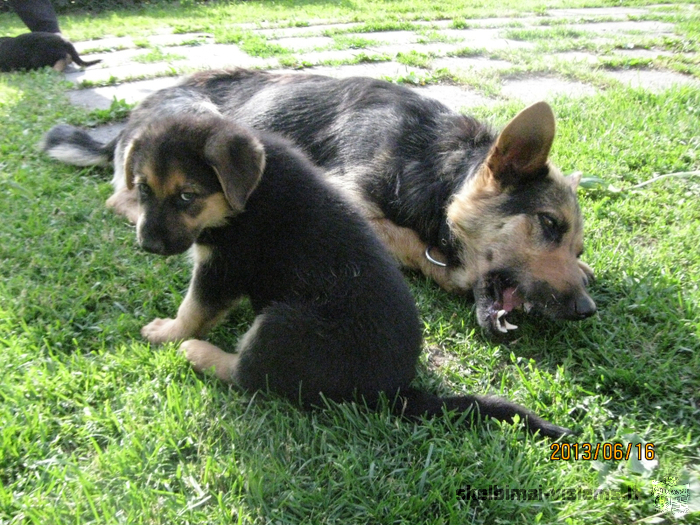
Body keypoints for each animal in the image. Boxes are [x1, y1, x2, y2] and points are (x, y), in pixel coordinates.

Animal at [41, 67, 592, 336]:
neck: (439, 172)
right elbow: (406, 244)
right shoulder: (346, 193)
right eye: (549, 224)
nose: (587, 310)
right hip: (198, 122)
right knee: (123, 195)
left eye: (578, 246)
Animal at [42, 104, 576, 436]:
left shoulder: (222, 267)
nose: (148, 246)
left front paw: (169, 332)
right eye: (142, 188)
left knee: (251, 378)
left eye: (187, 197)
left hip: (282, 324)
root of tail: (391, 391)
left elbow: (193, 308)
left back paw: (201, 354)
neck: (246, 192)